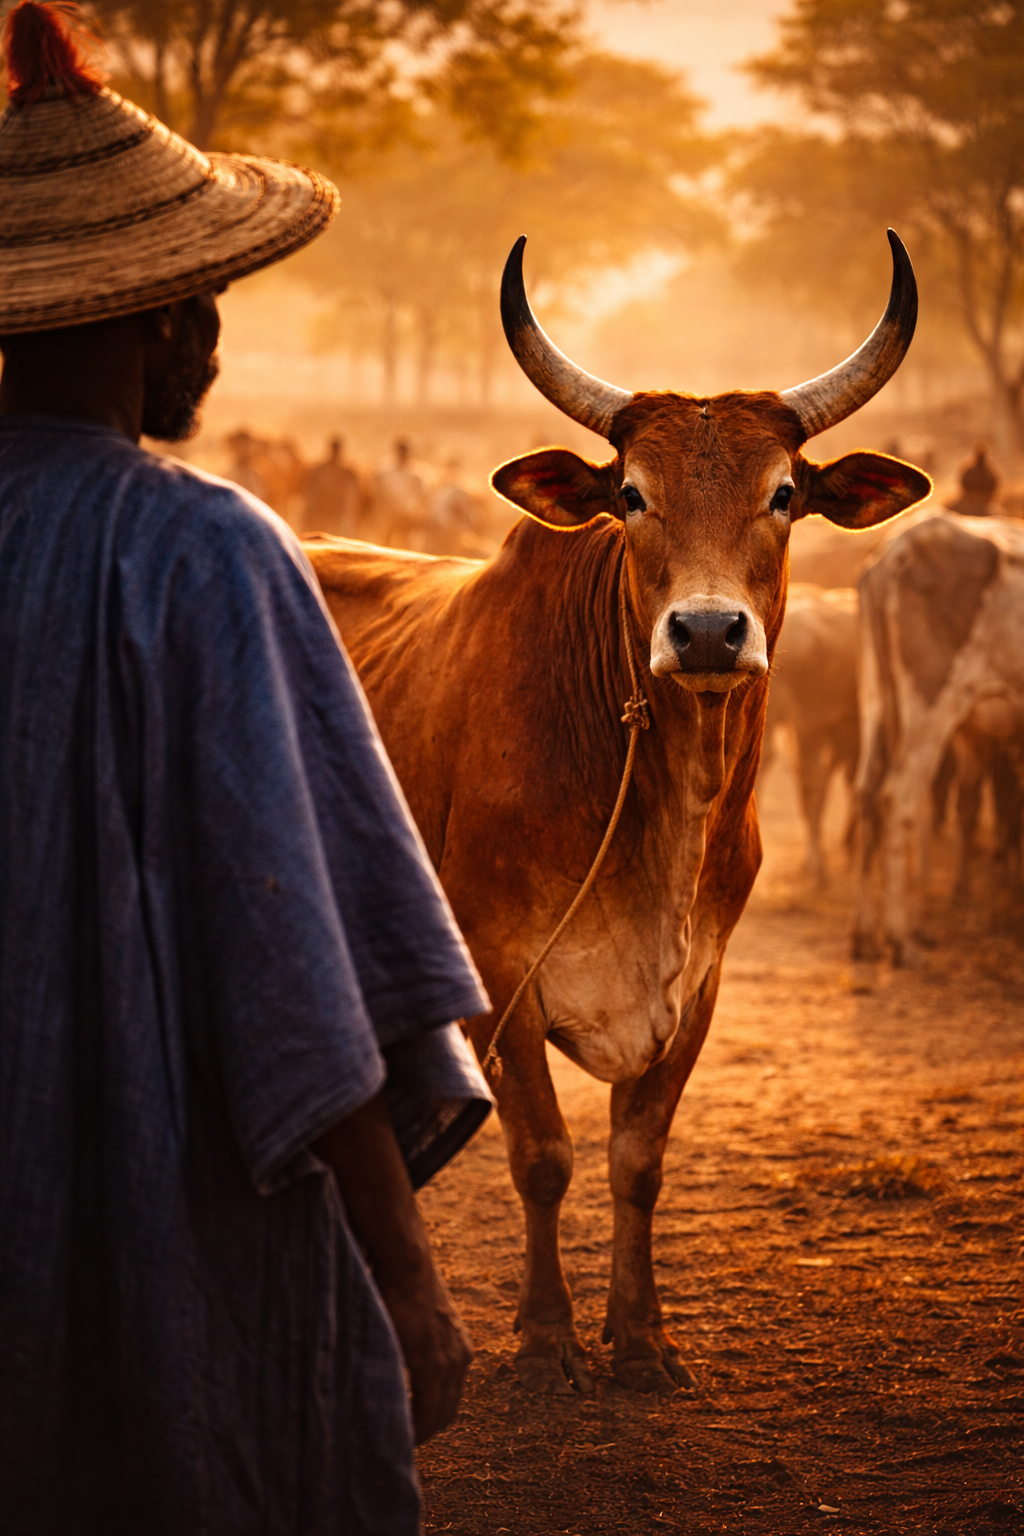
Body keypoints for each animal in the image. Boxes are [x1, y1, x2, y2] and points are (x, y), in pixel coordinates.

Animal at [853, 511, 1024, 963]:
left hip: (876, 701)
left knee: (867, 794)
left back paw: (864, 935)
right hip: (933, 703)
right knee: (898, 798)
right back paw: (901, 939)